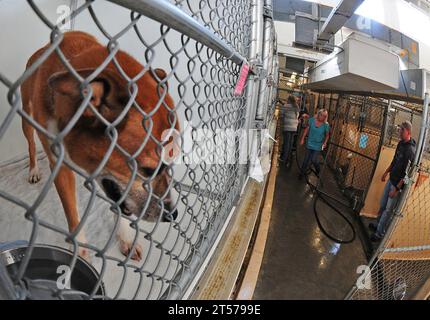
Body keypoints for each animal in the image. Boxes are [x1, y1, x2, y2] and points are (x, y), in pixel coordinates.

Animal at [21, 30, 179, 260]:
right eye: (149, 170)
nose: (172, 215)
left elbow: (119, 208)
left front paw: (126, 238)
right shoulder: (60, 166)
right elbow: (72, 213)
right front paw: (78, 250)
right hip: (26, 118)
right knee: (31, 145)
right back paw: (33, 170)